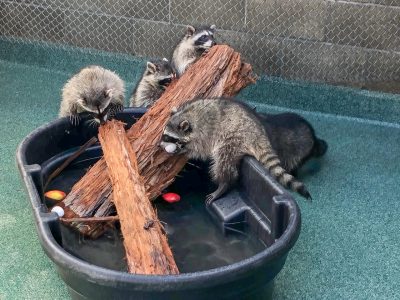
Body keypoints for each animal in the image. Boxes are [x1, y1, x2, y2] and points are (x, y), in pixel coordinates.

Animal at [160, 97, 312, 205]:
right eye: (164, 134)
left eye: (168, 137)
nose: (159, 146)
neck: (187, 115)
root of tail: (259, 132)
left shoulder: (203, 134)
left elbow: (198, 150)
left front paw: (183, 150)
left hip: (234, 138)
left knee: (224, 161)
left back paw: (224, 183)